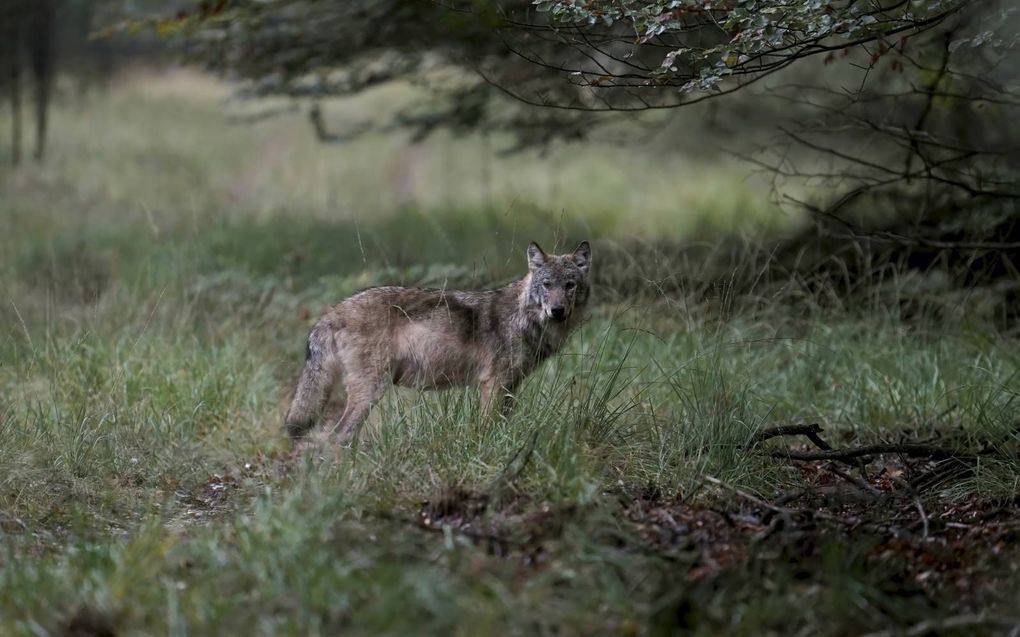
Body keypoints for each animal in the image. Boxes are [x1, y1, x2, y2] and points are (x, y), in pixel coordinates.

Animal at [283, 240, 595, 444]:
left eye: (569, 285)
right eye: (547, 285)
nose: (557, 311)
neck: (524, 318)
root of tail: (333, 311)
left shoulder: (510, 386)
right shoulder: (493, 384)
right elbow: (487, 428)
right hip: (371, 391)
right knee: (337, 437)